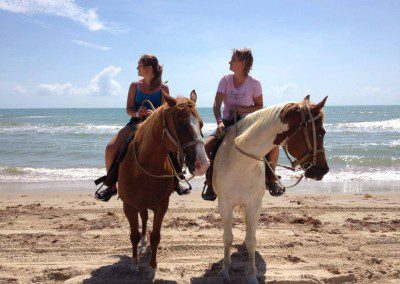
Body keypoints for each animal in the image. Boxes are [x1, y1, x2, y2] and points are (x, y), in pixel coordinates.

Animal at [118, 92, 209, 278]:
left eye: (201, 124)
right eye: (181, 124)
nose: (203, 164)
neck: (145, 167)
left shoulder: (162, 205)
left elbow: (156, 236)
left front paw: (152, 268)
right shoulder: (129, 206)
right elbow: (133, 235)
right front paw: (134, 264)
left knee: (145, 219)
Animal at [214, 96, 330, 284]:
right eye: (321, 132)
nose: (322, 170)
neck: (241, 164)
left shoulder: (254, 204)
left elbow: (251, 240)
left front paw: (252, 275)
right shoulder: (224, 203)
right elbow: (227, 238)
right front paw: (225, 270)